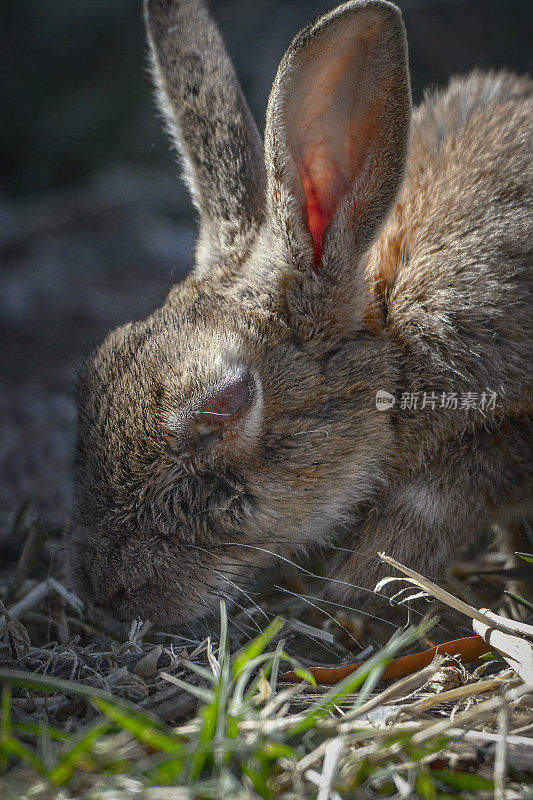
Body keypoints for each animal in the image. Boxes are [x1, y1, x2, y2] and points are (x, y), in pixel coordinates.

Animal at [66, 0, 532, 632]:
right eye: (96, 369)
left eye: (224, 405)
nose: (103, 588)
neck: (395, 338)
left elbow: (429, 504)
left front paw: (351, 598)